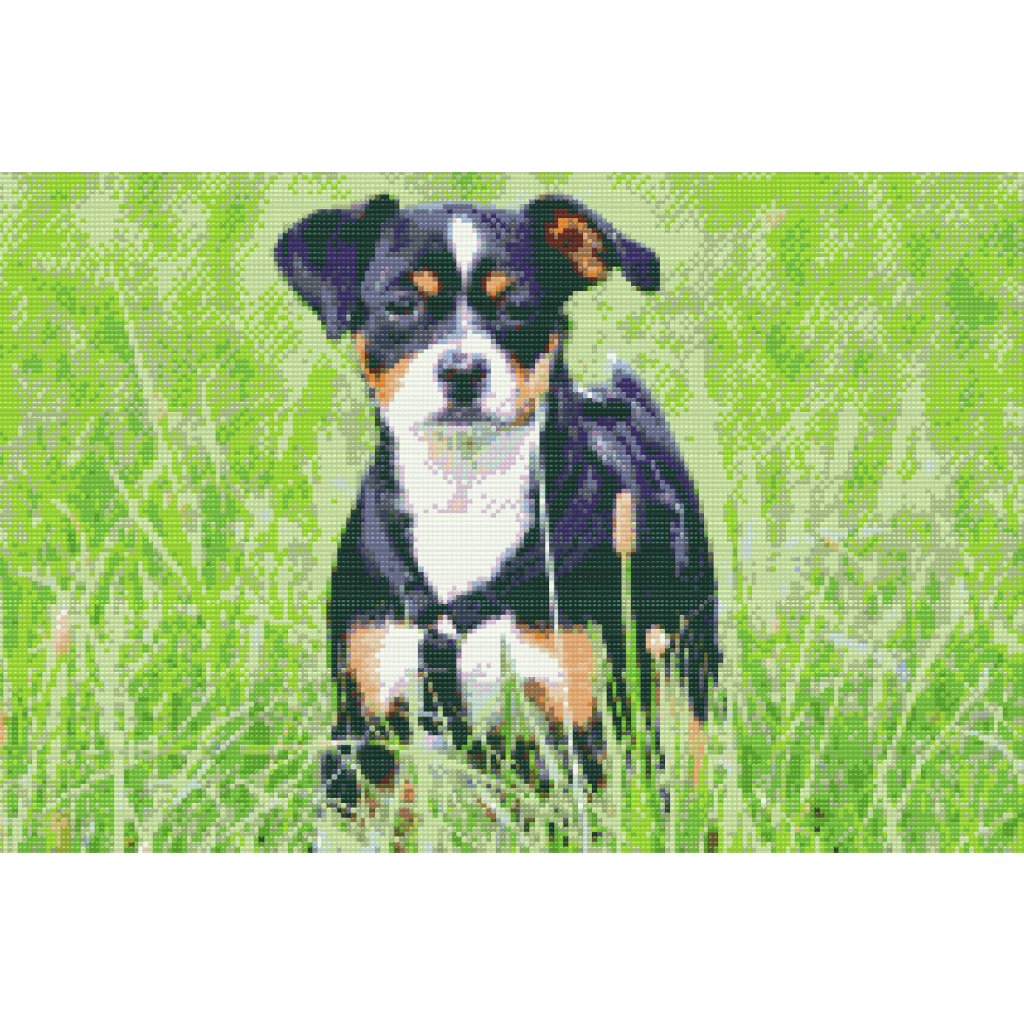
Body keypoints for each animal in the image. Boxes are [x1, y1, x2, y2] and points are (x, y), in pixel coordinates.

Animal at [275, 194, 721, 810]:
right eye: (400, 304)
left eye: (517, 307)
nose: (462, 368)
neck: (464, 502)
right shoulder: (365, 724)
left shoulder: (582, 715)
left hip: (683, 667)